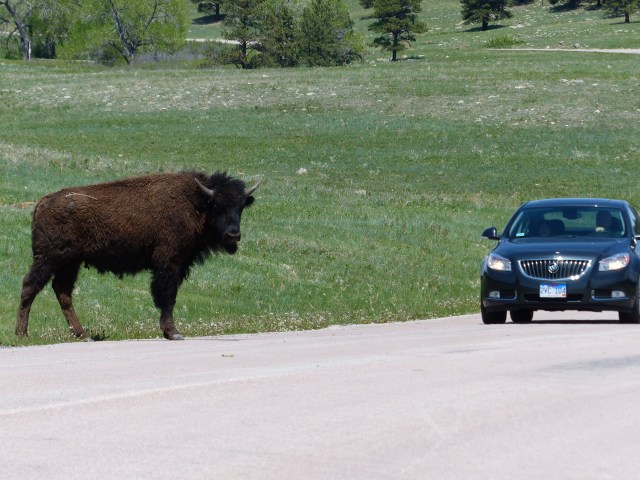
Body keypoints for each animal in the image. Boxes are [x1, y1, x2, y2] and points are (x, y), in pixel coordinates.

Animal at [16, 171, 259, 340]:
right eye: (217, 205)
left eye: (240, 207)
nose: (233, 235)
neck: (196, 203)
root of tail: (41, 203)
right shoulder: (169, 263)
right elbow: (167, 296)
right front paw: (173, 332)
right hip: (50, 259)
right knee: (30, 285)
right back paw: (22, 333)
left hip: (70, 262)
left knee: (62, 291)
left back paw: (83, 334)